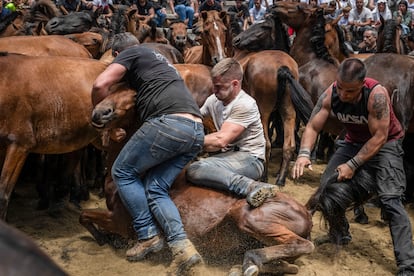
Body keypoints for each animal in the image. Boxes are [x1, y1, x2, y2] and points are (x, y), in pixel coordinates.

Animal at [80, 85, 314, 274]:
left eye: (135, 95)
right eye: (111, 90)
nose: (100, 112)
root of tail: (306, 216)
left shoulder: (120, 221)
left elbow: (84, 216)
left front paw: (103, 238)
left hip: (247, 216)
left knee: (301, 245)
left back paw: (251, 259)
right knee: (289, 266)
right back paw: (244, 266)